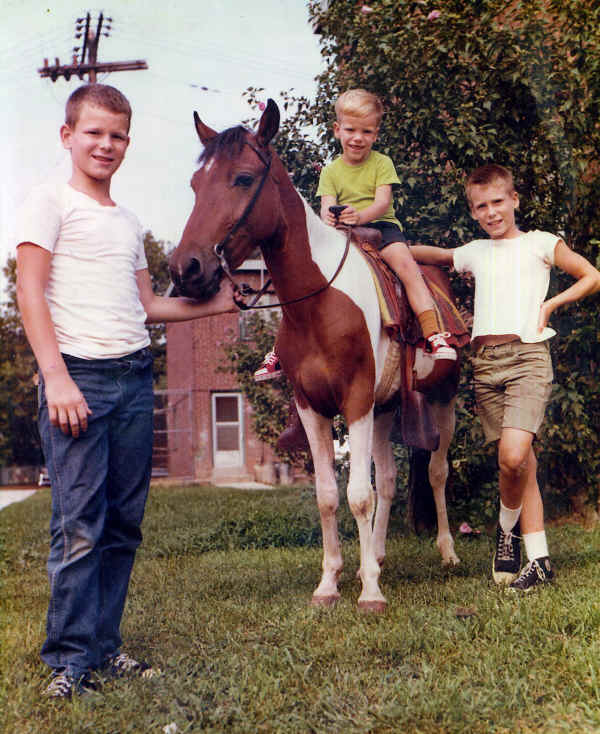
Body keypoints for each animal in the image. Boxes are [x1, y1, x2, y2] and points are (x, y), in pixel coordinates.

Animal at [169, 99, 460, 616]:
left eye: (243, 178)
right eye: (195, 184)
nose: (186, 269)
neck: (319, 302)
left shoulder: (356, 401)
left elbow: (359, 494)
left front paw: (370, 593)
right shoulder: (312, 407)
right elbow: (329, 495)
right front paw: (331, 583)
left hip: (442, 400)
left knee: (436, 471)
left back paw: (446, 552)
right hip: (387, 409)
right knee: (390, 480)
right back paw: (376, 556)